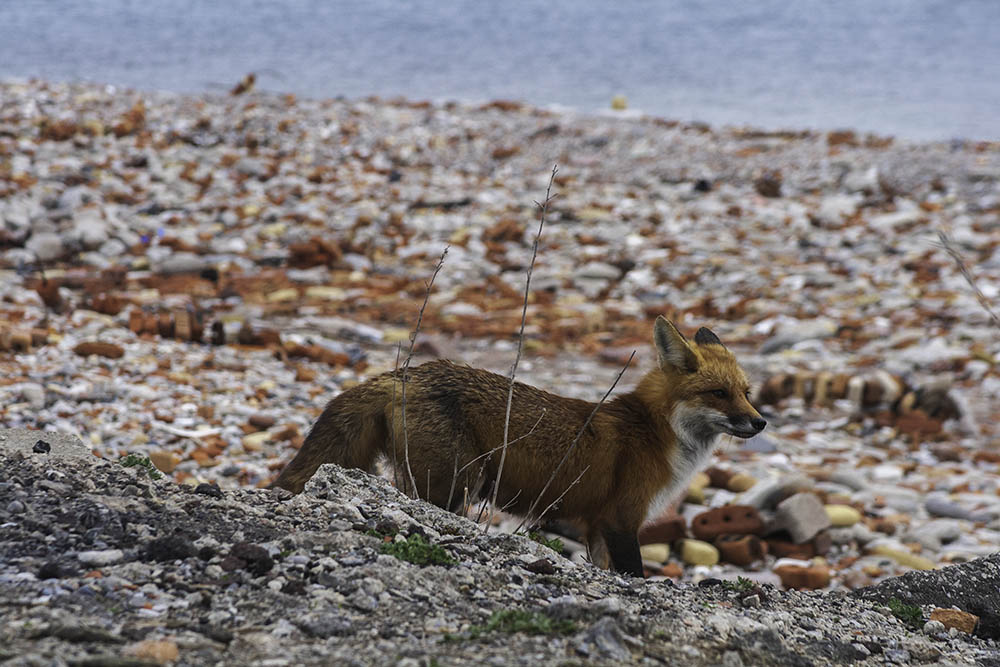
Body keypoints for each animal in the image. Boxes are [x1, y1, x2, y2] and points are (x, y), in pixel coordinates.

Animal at [270, 316, 766, 577]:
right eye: (719, 394)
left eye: (747, 392)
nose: (761, 422)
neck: (656, 432)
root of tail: (404, 374)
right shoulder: (621, 518)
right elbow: (634, 572)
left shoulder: (596, 526)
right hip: (453, 488)